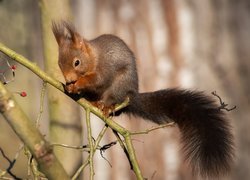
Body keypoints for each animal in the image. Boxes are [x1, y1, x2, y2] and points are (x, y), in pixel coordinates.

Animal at [51, 20, 233, 177]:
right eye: (59, 63)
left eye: (77, 62)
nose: (69, 80)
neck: (94, 57)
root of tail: (132, 96)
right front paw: (70, 87)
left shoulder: (104, 68)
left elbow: (97, 80)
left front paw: (77, 84)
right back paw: (92, 102)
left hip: (119, 87)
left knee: (113, 100)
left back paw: (106, 106)